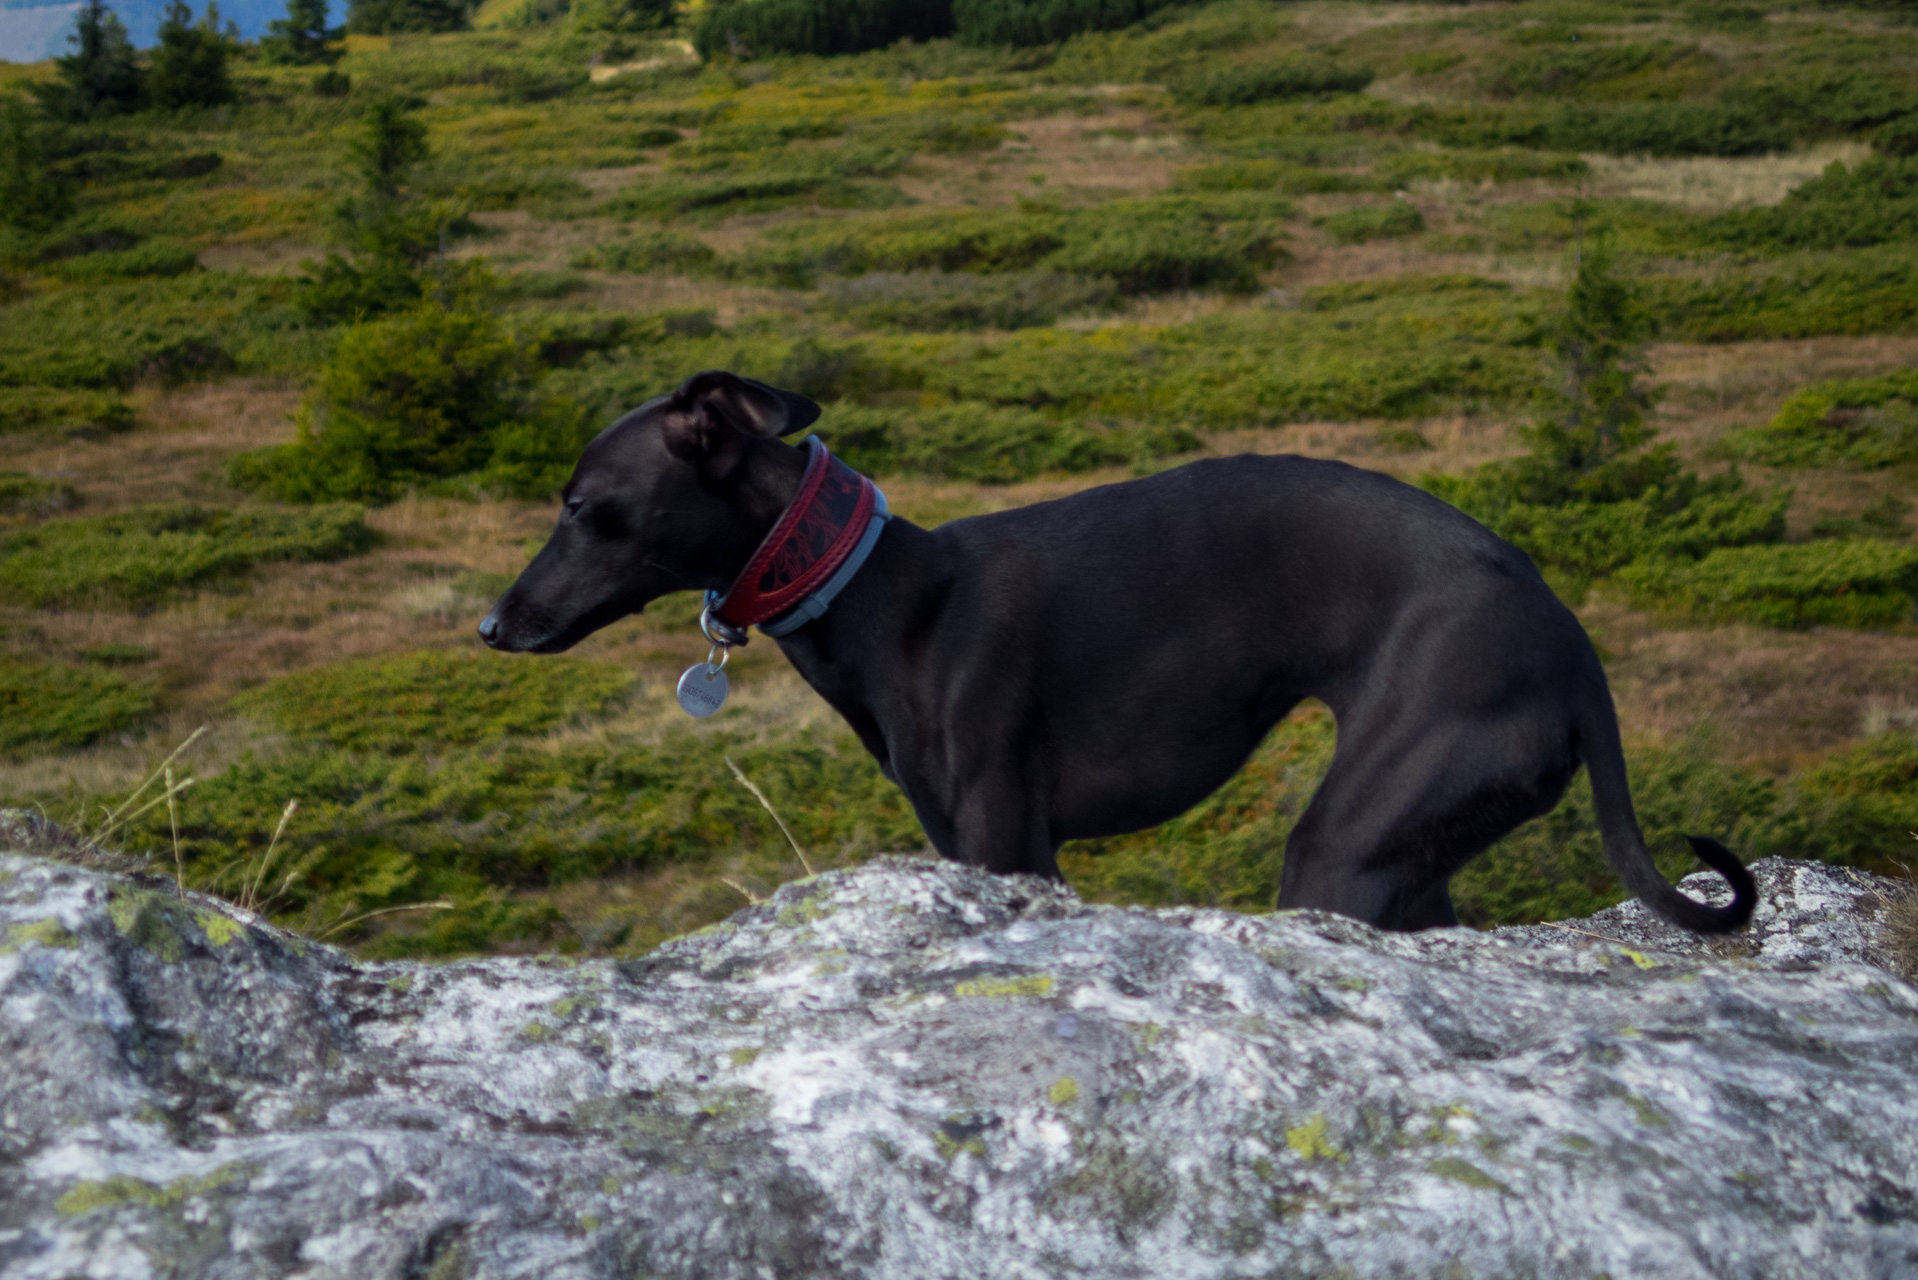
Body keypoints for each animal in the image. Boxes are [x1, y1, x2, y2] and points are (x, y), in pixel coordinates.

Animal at [479, 370, 1756, 932]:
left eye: (584, 507)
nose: (494, 625)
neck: (890, 595)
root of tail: (1570, 641)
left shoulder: (1009, 846)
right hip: (1408, 855)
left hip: (1347, 845)